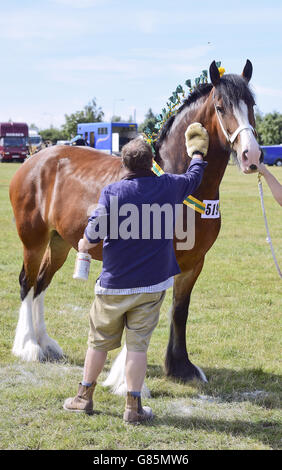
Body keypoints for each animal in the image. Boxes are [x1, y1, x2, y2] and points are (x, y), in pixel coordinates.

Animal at [9, 61, 262, 386]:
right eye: (220, 107)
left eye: (251, 105)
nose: (251, 154)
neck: (179, 181)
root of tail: (36, 158)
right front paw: (126, 377)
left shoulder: (194, 263)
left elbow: (179, 311)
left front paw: (181, 368)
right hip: (34, 240)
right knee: (27, 284)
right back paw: (28, 346)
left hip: (60, 242)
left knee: (41, 283)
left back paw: (46, 344)